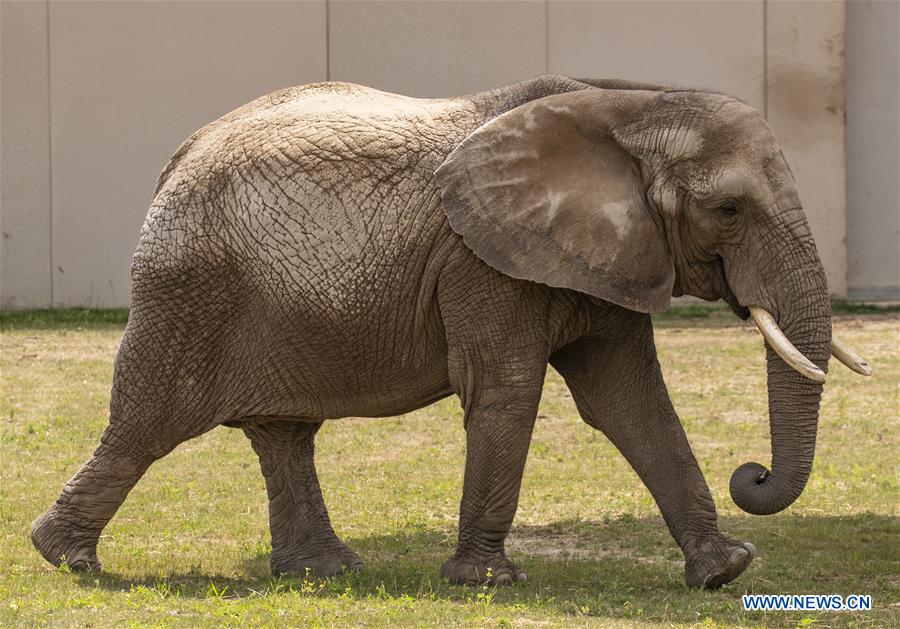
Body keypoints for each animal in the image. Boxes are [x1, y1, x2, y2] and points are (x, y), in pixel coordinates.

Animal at [31, 75, 871, 589]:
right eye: (729, 210)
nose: (751, 473)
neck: (627, 108)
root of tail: (177, 157)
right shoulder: (481, 260)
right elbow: (509, 390)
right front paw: (488, 583)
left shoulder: (609, 253)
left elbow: (631, 400)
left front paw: (725, 570)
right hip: (189, 291)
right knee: (146, 423)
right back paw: (66, 559)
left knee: (283, 433)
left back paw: (326, 572)